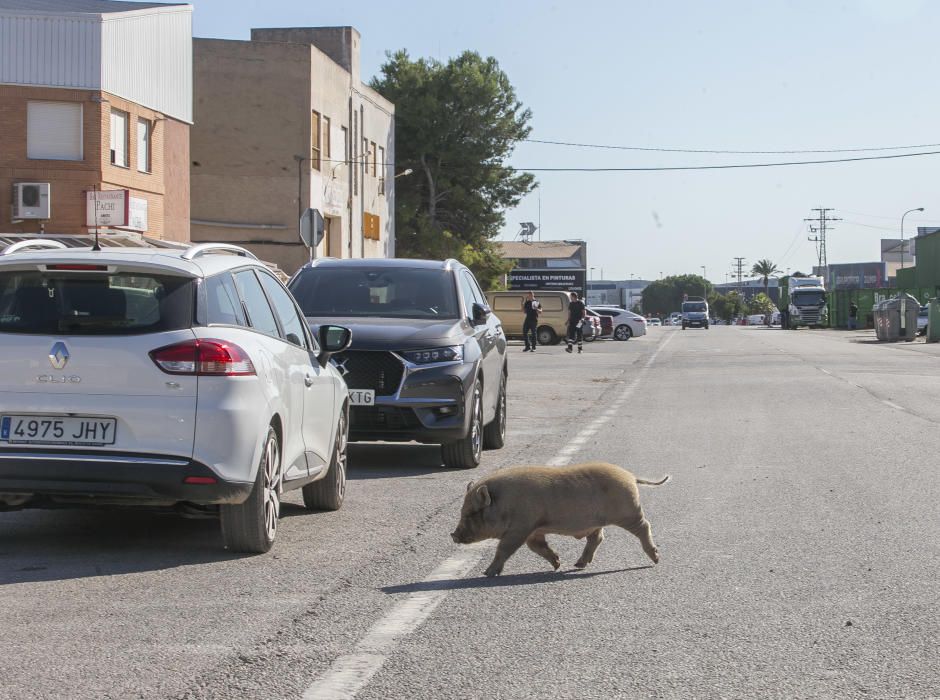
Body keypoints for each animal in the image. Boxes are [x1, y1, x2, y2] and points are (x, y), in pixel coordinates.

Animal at [448, 462, 668, 576]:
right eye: (462, 511)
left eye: (471, 513)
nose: (453, 535)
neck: (505, 504)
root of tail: (630, 476)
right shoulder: (534, 531)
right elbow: (538, 547)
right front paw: (557, 564)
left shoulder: (520, 527)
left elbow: (504, 549)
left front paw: (487, 573)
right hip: (598, 522)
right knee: (597, 538)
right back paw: (577, 565)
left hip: (629, 513)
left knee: (645, 526)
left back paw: (656, 559)